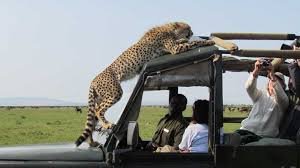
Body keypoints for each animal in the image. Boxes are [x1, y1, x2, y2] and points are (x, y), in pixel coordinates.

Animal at [75, 21, 216, 146]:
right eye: (188, 28)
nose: (192, 32)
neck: (169, 29)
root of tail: (93, 80)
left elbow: (184, 42)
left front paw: (187, 40)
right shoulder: (174, 49)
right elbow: (193, 43)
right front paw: (208, 41)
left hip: (100, 97)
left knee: (92, 119)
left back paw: (92, 142)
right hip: (114, 92)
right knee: (98, 110)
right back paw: (107, 125)